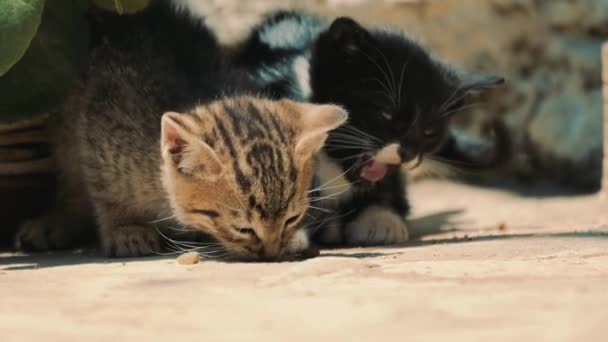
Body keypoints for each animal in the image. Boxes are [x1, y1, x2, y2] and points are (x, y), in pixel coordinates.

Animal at [15, 0, 346, 258]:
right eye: (243, 228)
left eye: (292, 218)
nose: (272, 252)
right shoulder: (99, 131)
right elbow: (105, 192)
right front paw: (126, 229)